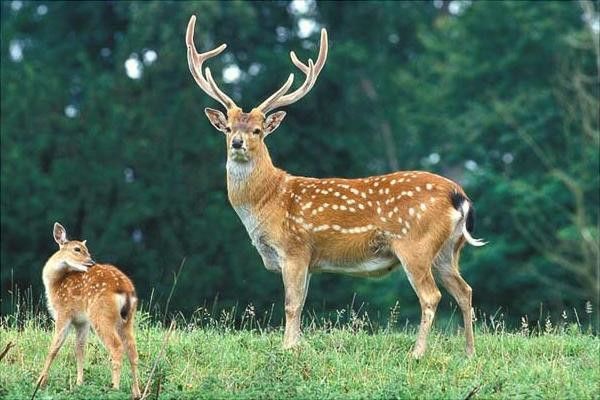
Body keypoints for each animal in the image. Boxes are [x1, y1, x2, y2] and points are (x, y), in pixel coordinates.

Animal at [185, 15, 486, 358]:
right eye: (229, 128)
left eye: (258, 131)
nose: (237, 143)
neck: (268, 201)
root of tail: (459, 195)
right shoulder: (309, 261)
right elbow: (301, 304)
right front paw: (297, 346)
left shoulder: (295, 248)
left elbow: (291, 305)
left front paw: (287, 349)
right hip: (448, 249)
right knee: (465, 290)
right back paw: (469, 353)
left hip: (415, 243)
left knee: (431, 296)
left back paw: (418, 353)